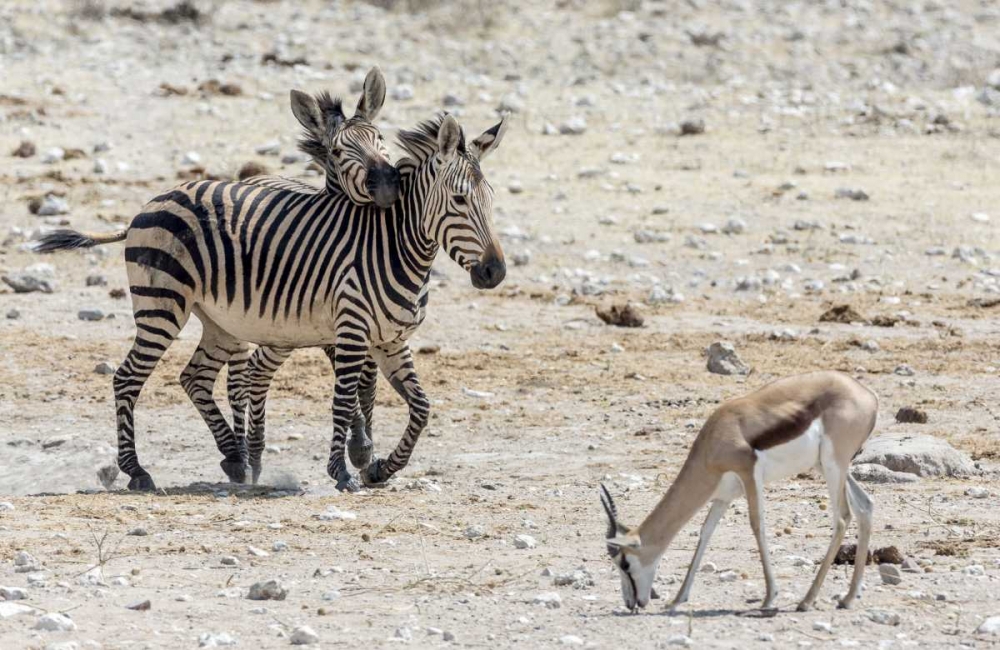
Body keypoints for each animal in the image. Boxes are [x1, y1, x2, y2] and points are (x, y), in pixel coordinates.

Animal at [35, 111, 512, 488]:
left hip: (220, 322)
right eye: (460, 200)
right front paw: (342, 472)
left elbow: (421, 408)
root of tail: (149, 203)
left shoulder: (390, 340)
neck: (394, 246)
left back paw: (236, 457)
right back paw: (137, 471)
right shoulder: (352, 332)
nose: (495, 273)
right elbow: (343, 402)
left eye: (490, 199)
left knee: (195, 377)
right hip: (161, 306)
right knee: (127, 378)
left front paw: (380, 468)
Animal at [600, 372, 876, 612]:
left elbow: (757, 525)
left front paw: (769, 597)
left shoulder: (748, 473)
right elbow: (705, 533)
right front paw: (677, 599)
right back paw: (847, 598)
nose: (631, 603)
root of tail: (868, 396)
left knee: (842, 518)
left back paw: (806, 601)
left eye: (624, 562)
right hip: (830, 466)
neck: (716, 438)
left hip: (832, 465)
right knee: (865, 506)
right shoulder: (723, 496)